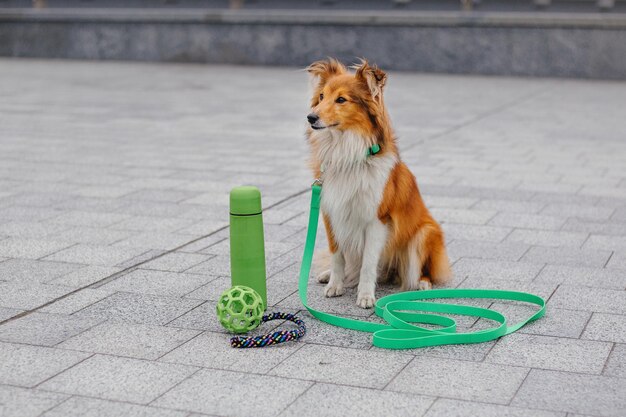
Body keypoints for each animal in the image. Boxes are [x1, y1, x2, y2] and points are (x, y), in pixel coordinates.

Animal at [306, 57, 448, 308]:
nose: (311, 117)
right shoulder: (331, 214)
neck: (347, 154)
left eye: (341, 99)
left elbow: (368, 263)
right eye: (321, 96)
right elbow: (337, 255)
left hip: (425, 233)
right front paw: (335, 284)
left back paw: (422, 283)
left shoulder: (377, 220)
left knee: (421, 270)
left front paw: (364, 295)